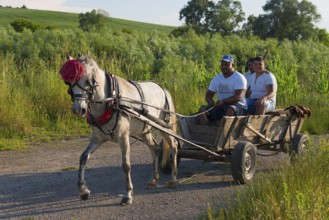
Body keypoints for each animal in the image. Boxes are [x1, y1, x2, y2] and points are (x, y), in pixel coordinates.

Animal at [59, 52, 177, 206]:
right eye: (69, 82)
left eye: (87, 80)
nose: (79, 109)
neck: (111, 99)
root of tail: (162, 89)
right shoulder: (98, 138)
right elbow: (83, 157)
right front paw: (83, 190)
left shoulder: (123, 137)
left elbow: (126, 165)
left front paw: (128, 195)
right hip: (144, 131)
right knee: (155, 149)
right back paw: (153, 180)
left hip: (164, 127)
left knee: (174, 146)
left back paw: (173, 179)